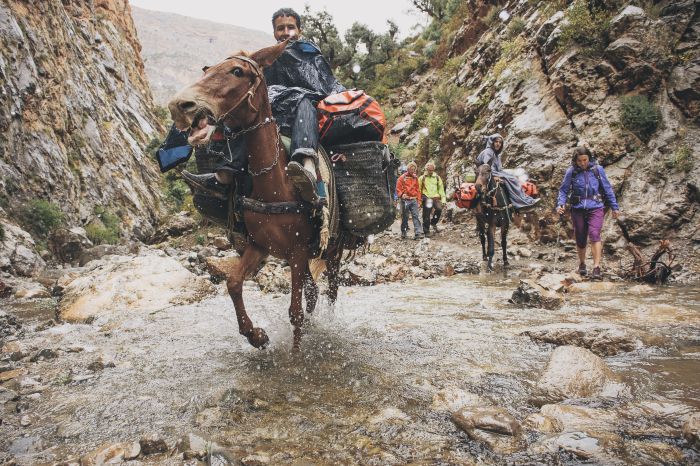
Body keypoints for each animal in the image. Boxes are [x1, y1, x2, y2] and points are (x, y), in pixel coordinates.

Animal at [168, 41, 346, 350]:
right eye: (207, 69)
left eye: (237, 71)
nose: (181, 105)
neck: (273, 184)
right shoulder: (260, 245)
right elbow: (233, 283)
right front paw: (257, 336)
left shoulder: (297, 251)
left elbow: (295, 311)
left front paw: (296, 355)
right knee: (313, 291)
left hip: (333, 250)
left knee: (331, 290)